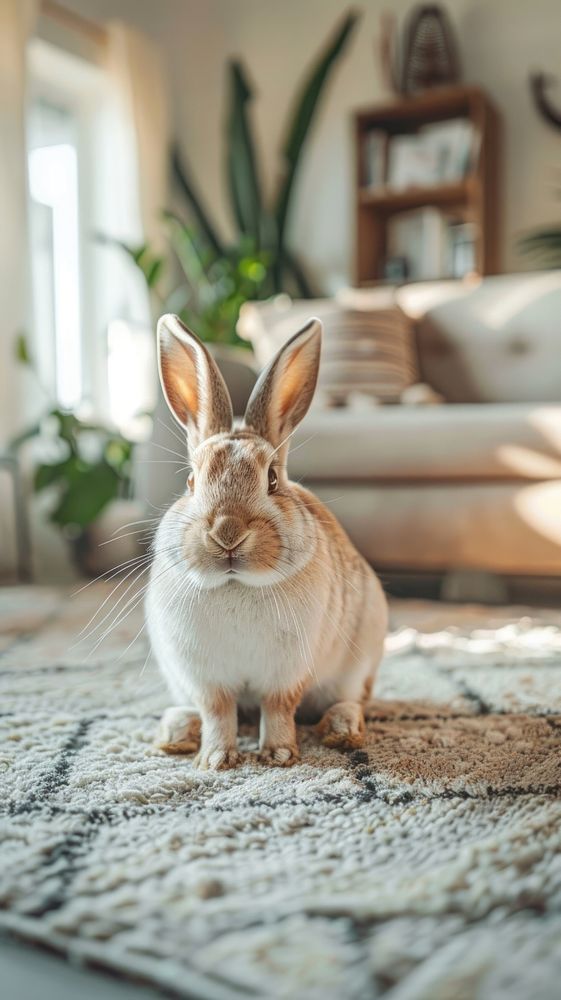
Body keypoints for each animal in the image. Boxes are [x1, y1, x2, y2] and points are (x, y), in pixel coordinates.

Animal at [146, 313, 388, 770]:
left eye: (272, 480)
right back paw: (175, 735)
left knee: (353, 700)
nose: (227, 533)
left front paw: (278, 754)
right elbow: (217, 711)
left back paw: (341, 730)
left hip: (359, 661)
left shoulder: (287, 673)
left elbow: (277, 708)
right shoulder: (204, 677)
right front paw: (215, 760)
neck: (236, 586)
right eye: (190, 481)